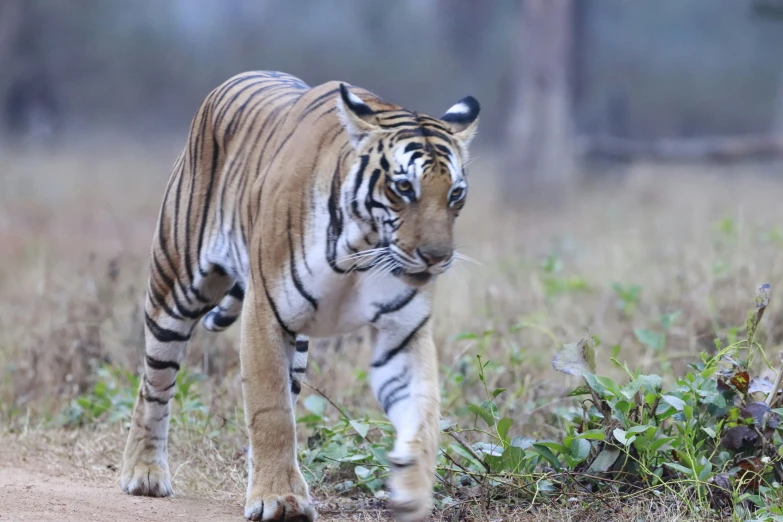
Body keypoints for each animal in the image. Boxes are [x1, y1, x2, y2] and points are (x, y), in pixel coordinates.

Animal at [119, 70, 480, 520]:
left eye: (455, 194)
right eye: (403, 187)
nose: (436, 257)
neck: (361, 249)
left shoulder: (402, 334)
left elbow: (423, 412)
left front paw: (412, 489)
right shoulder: (264, 315)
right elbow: (271, 413)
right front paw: (278, 498)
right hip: (176, 287)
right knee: (154, 383)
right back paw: (144, 474)